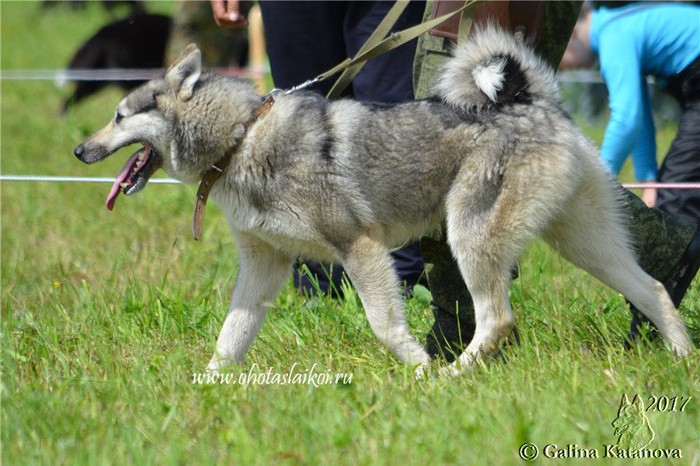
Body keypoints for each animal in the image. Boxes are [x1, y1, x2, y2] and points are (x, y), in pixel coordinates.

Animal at [74, 26, 693, 376]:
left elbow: (384, 326)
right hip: (584, 243)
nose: (80, 149)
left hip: (471, 238)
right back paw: (685, 359)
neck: (242, 136)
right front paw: (206, 387)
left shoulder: (361, 250)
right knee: (653, 289)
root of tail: (529, 100)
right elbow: (230, 338)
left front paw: (417, 371)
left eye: (120, 116)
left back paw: (453, 375)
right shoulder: (264, 265)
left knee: (497, 319)